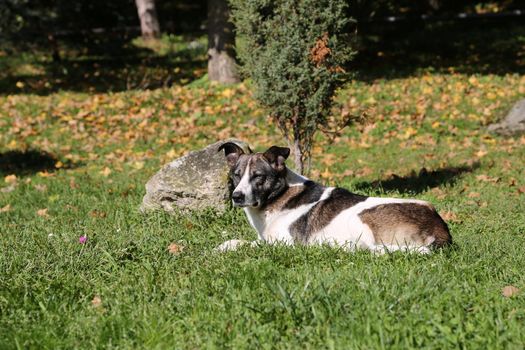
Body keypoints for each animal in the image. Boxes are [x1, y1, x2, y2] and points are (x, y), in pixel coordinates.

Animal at [216, 142, 450, 254]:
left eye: (258, 176)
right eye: (236, 175)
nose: (237, 197)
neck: (279, 197)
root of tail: (440, 226)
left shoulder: (287, 244)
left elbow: (252, 245)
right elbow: (233, 241)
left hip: (358, 218)